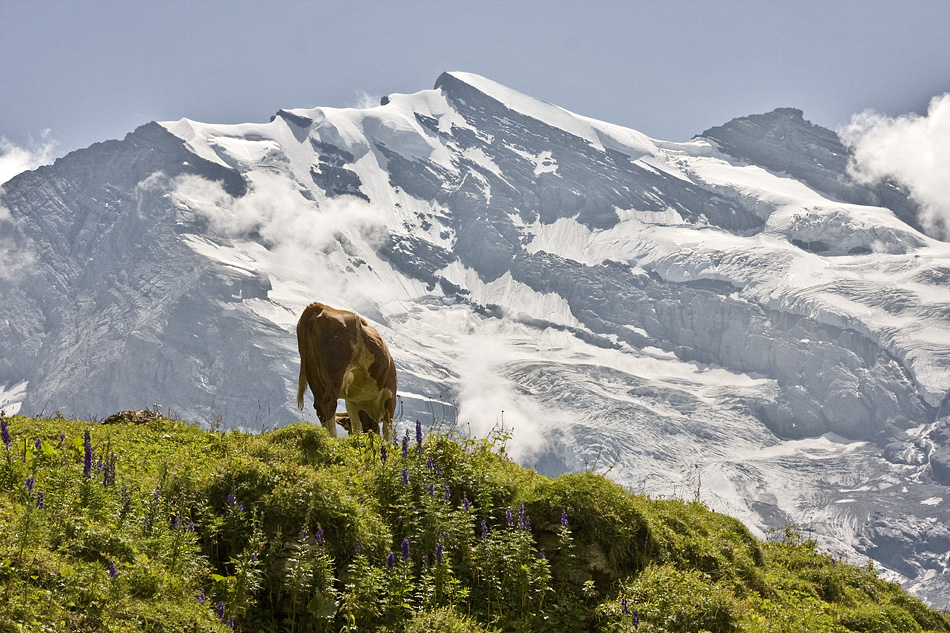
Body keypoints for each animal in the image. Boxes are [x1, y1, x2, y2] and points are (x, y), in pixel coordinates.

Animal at [296, 302, 396, 442]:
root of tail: (322, 306)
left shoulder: (352, 403)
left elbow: (356, 427)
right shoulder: (390, 397)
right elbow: (388, 432)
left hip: (311, 369)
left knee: (319, 407)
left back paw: (324, 436)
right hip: (336, 371)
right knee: (329, 402)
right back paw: (333, 438)